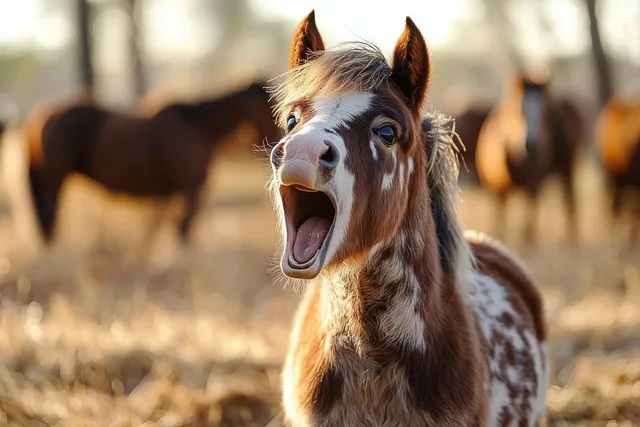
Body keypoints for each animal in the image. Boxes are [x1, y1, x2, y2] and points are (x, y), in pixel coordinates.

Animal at [26, 82, 282, 245]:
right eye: (273, 108)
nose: (280, 149)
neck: (198, 126)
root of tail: (40, 118)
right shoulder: (191, 191)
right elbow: (183, 228)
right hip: (52, 181)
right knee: (48, 216)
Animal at [475, 73, 583, 246]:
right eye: (519, 111)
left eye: (545, 113)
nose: (532, 145)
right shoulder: (500, 185)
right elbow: (502, 214)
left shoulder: (533, 180)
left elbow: (530, 209)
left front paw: (528, 239)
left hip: (566, 169)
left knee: (569, 201)